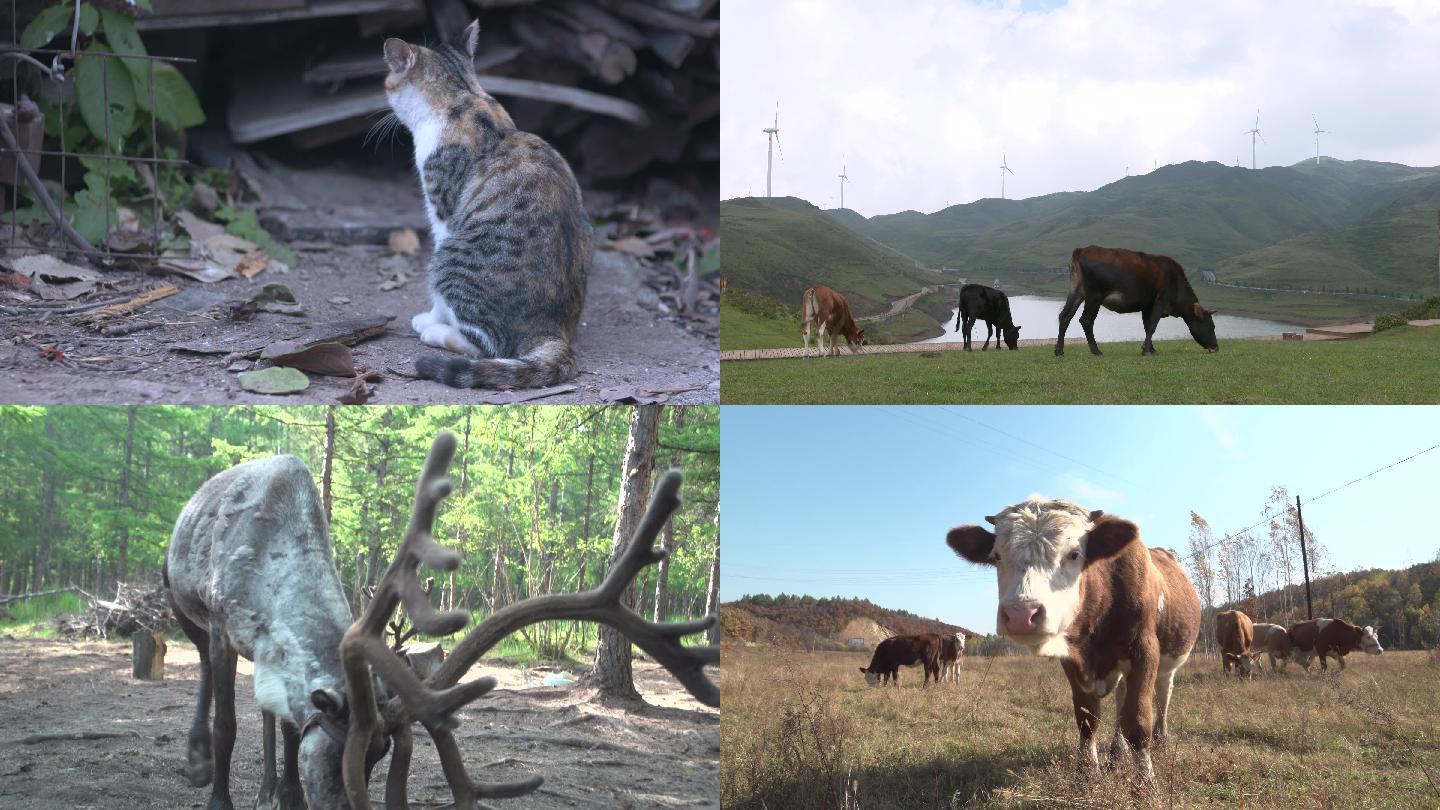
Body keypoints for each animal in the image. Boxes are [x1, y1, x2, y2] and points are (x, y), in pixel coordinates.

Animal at [383, 18, 590, 383]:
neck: (465, 95)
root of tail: (550, 331)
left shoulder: (443, 215)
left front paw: (432, 317)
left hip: (452, 261)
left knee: (488, 346)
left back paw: (437, 332)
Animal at [944, 492, 1203, 778]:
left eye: (1074, 554)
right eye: (997, 556)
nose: (1021, 615)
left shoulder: (1144, 651)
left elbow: (1137, 723)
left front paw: (1145, 782)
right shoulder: (1072, 660)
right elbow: (1087, 718)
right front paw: (1087, 772)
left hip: (1170, 660)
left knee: (1163, 694)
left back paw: (1161, 737)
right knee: (1121, 701)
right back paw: (1117, 752)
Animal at [1059, 245, 1215, 354]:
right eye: (1211, 326)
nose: (1216, 347)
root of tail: (1082, 250)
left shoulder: (1147, 306)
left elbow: (1146, 327)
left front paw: (1150, 349)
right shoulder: (1160, 301)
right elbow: (1152, 326)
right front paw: (1146, 351)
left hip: (1076, 291)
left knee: (1065, 316)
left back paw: (1059, 351)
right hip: (1095, 296)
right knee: (1086, 320)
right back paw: (1096, 351)